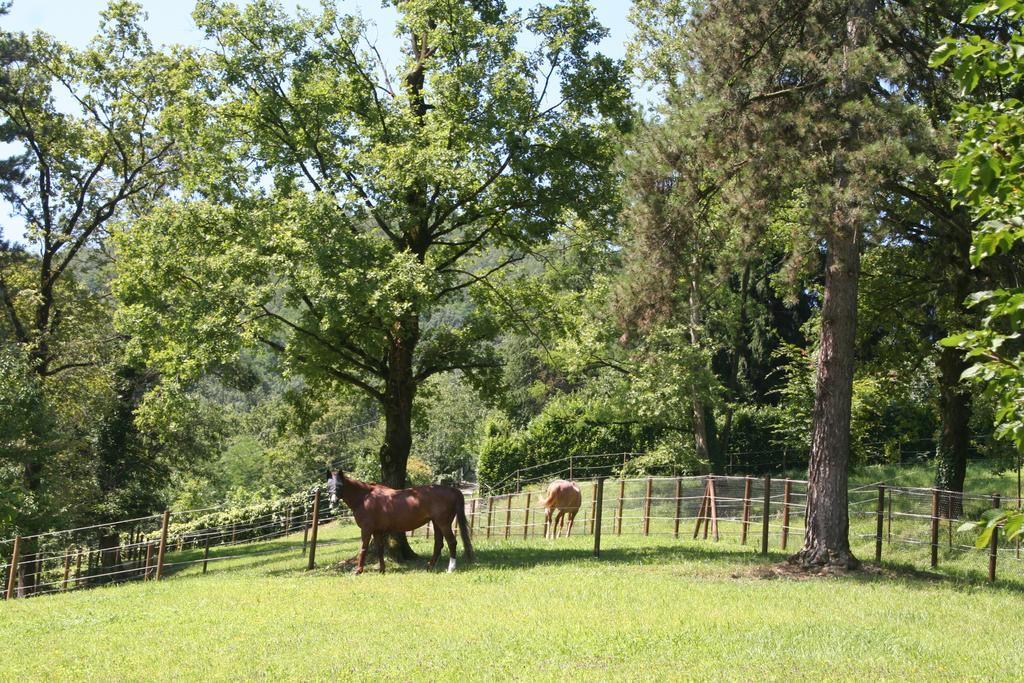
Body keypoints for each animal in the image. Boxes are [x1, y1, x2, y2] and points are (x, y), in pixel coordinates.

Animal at [327, 473, 471, 573]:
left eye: (339, 485)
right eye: (329, 486)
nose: (333, 502)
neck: (365, 497)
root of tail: (453, 490)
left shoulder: (366, 529)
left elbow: (363, 548)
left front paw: (358, 571)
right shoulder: (377, 531)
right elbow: (380, 549)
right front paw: (382, 570)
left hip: (444, 523)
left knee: (452, 542)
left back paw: (451, 569)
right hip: (436, 523)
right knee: (438, 544)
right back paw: (430, 567)